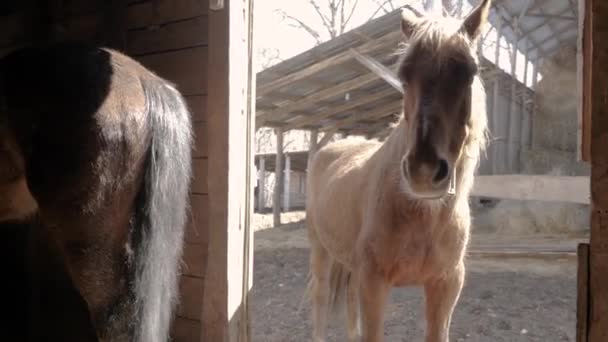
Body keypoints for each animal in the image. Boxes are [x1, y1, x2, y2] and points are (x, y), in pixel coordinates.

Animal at [306, 1, 492, 340]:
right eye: (404, 75)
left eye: (469, 72)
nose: (424, 171)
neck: (420, 212)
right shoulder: (373, 282)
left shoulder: (445, 284)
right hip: (320, 250)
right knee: (321, 300)